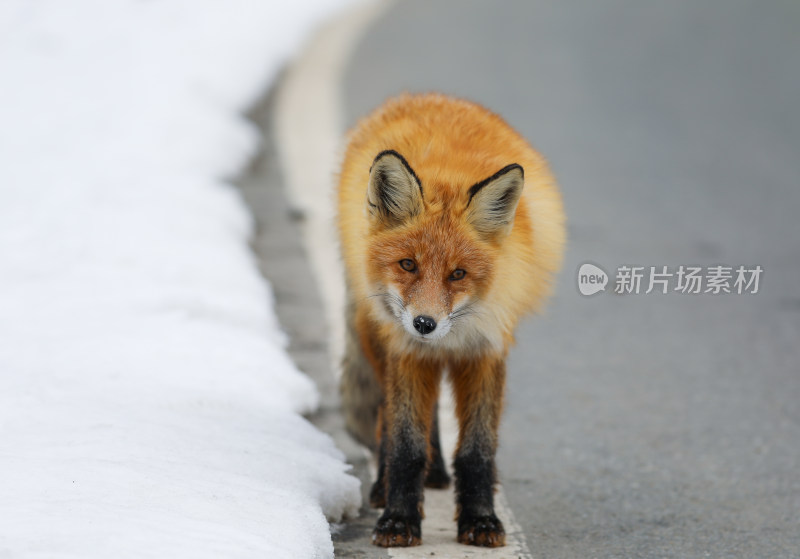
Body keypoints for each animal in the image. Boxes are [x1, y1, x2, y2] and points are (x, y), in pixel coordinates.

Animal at [338, 92, 568, 548]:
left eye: (458, 274)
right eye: (408, 264)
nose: (424, 324)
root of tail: (427, 95)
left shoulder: (485, 351)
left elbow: (477, 451)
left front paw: (480, 519)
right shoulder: (406, 351)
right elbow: (406, 446)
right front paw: (399, 519)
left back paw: (438, 474)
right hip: (377, 337)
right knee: (388, 418)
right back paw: (388, 484)